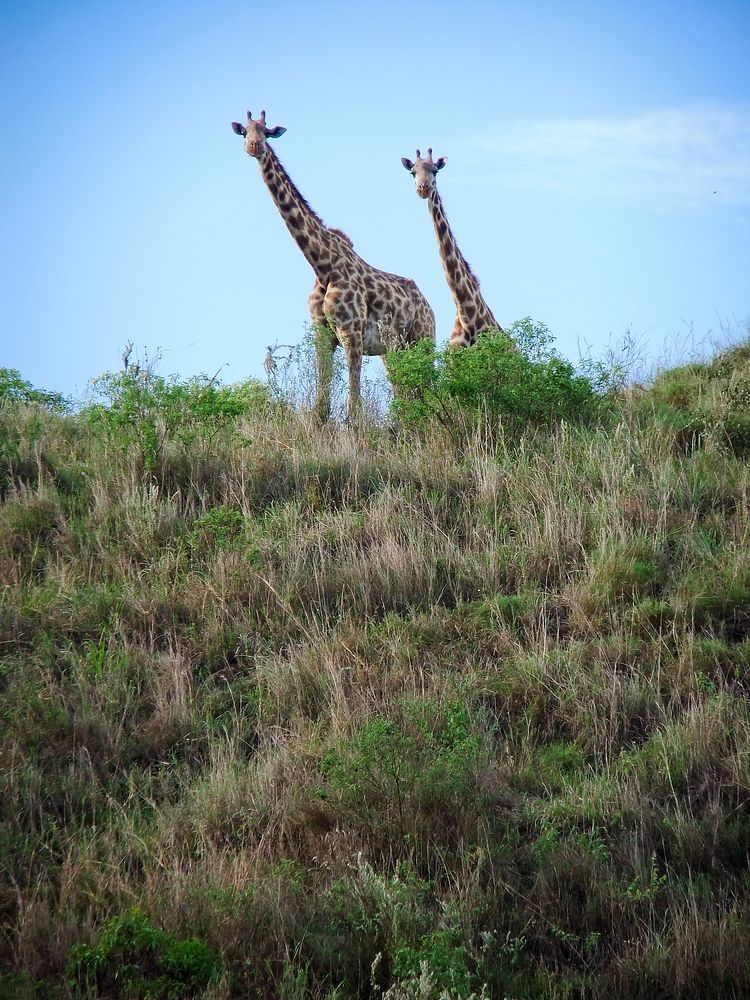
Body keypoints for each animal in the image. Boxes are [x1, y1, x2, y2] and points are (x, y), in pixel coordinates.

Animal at [232, 112, 438, 418]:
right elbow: (321, 405)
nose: (254, 146)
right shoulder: (323, 334)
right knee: (407, 395)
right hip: (394, 350)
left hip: (423, 340)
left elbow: (354, 407)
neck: (322, 265)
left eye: (266, 132)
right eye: (245, 131)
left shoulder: (351, 332)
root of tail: (428, 306)